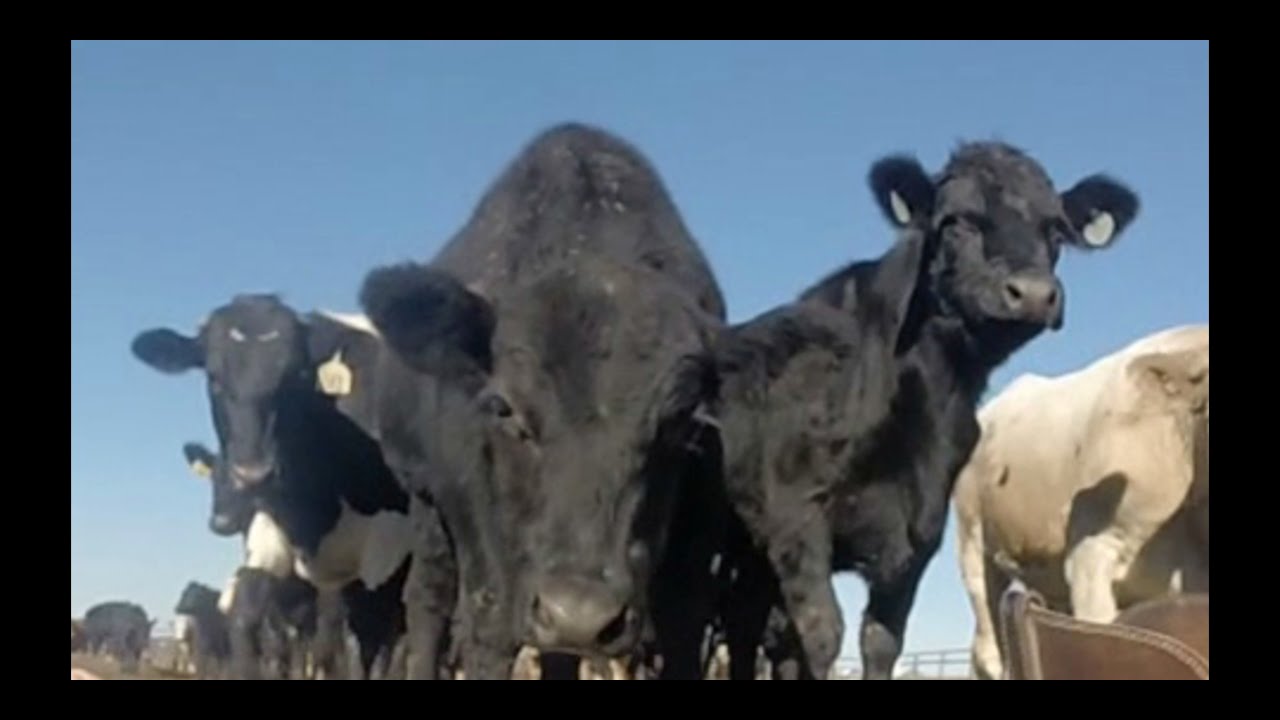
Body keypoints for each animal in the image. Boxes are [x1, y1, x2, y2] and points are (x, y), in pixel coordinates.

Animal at [131, 306, 432, 679]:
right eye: (213, 377)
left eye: (296, 377)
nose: (253, 475)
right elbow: (255, 620)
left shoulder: (386, 555)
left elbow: (366, 646)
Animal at [357, 122, 729, 679]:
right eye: (502, 407)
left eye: (684, 421)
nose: (579, 613)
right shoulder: (479, 538)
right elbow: (487, 632)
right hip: (427, 505)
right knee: (428, 600)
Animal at [715, 141, 1140, 679]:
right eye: (956, 221)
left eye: (1056, 231)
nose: (1033, 293)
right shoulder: (794, 518)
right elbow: (821, 634)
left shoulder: (917, 535)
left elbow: (879, 641)